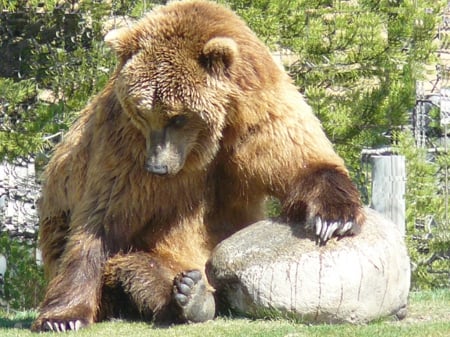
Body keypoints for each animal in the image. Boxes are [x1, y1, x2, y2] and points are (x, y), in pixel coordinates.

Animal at [30, 0, 362, 330]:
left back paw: (192, 294)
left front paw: (334, 219)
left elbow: (301, 162)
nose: (157, 167)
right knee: (127, 263)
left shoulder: (258, 117)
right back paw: (189, 294)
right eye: (142, 112)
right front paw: (63, 317)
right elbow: (101, 223)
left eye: (178, 116)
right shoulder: (125, 147)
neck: (207, 143)